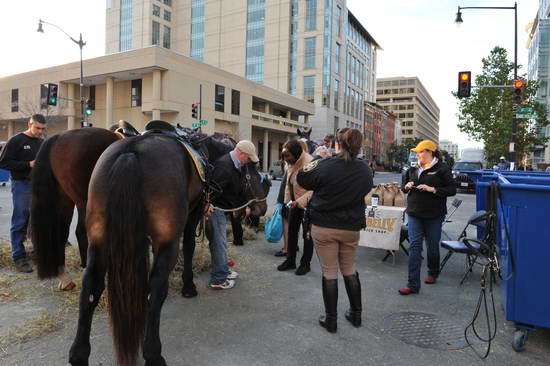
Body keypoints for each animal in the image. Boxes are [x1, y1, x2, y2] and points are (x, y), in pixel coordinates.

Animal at [67, 134, 268, 366]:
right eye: (254, 174)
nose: (261, 208)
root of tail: (130, 151)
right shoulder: (193, 213)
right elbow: (189, 247)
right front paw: (189, 286)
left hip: (99, 241)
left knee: (90, 286)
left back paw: (79, 354)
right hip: (167, 240)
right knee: (156, 287)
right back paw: (153, 353)